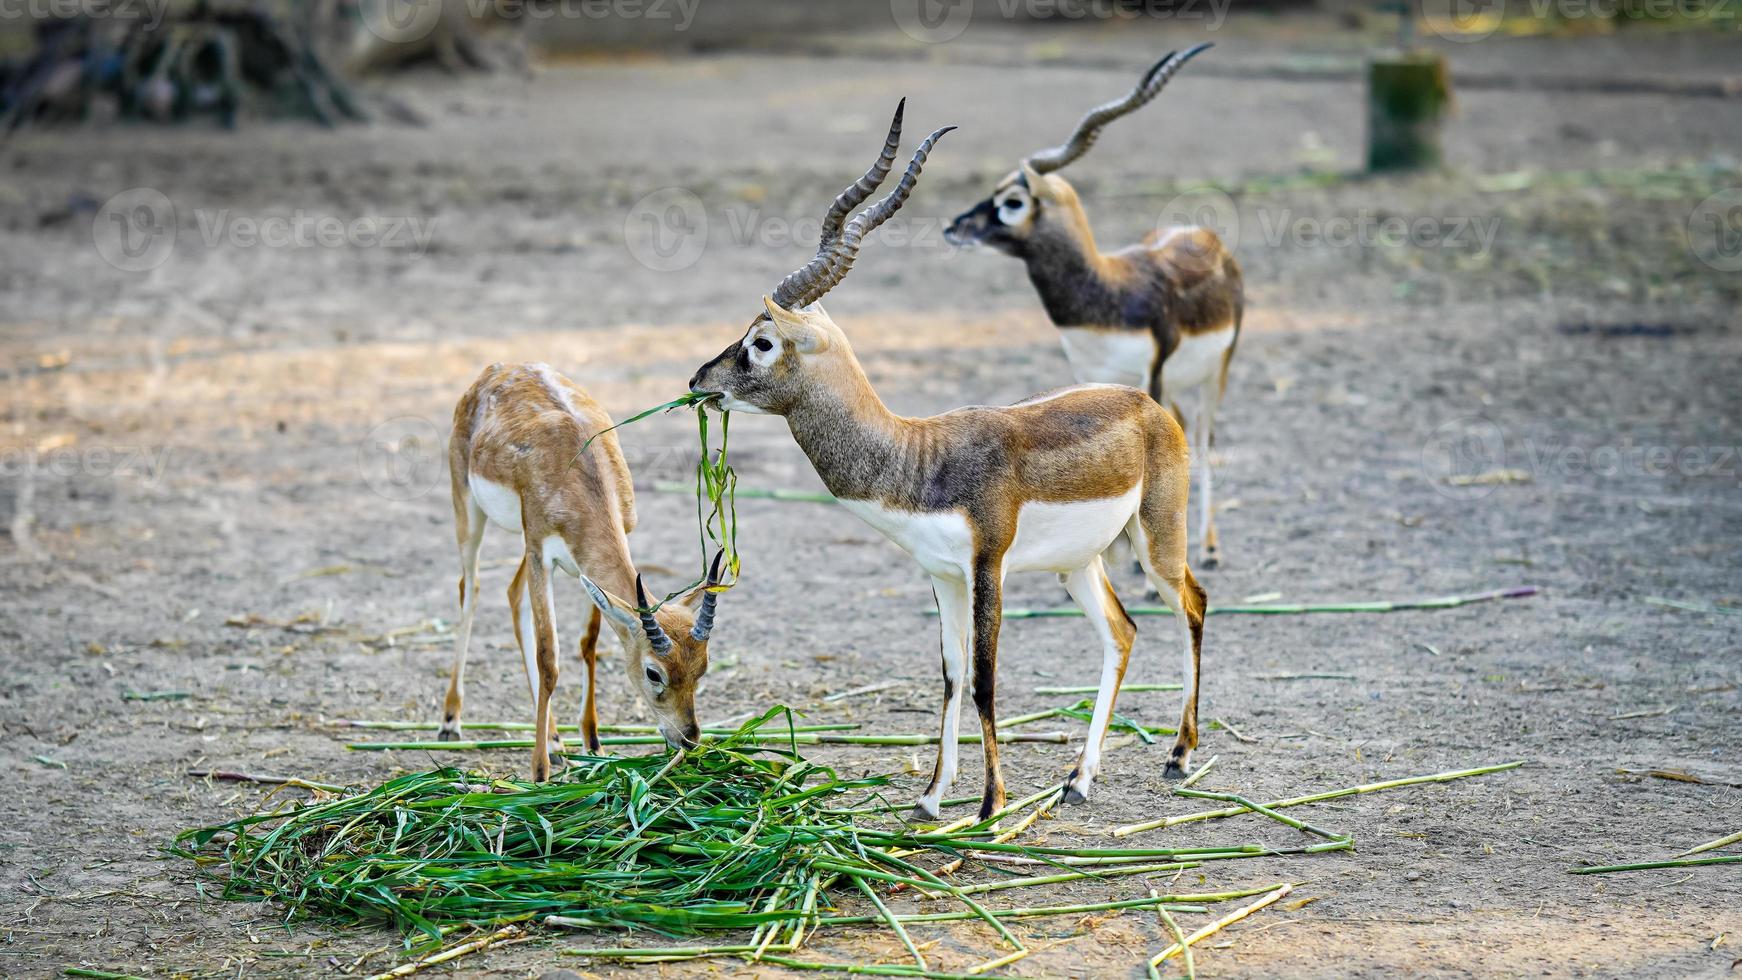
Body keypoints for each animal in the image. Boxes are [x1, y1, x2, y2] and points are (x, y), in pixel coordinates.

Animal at [449, 362, 728, 783]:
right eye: (654, 673)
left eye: (703, 667)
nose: (689, 737)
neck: (578, 467)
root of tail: (498, 370)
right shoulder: (541, 554)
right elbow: (549, 658)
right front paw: (539, 770)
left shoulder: (585, 565)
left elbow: (588, 645)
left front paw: (593, 744)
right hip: (469, 508)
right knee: (471, 589)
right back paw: (451, 722)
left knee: (513, 595)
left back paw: (555, 740)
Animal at [686, 103, 1205, 825]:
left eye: (760, 342)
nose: (696, 381)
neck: (919, 455)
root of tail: (1147, 403)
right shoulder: (942, 576)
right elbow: (952, 675)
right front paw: (932, 798)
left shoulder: (988, 568)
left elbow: (985, 679)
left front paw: (990, 805)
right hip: (1079, 563)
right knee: (1122, 633)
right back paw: (1079, 779)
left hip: (1156, 538)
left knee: (1192, 604)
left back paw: (1179, 757)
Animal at [947, 44, 1247, 567]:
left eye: (1012, 201)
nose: (954, 227)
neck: (1106, 293)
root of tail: (1201, 234)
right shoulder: (1089, 373)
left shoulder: (1151, 372)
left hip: (1216, 372)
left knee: (1205, 437)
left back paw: (1209, 547)